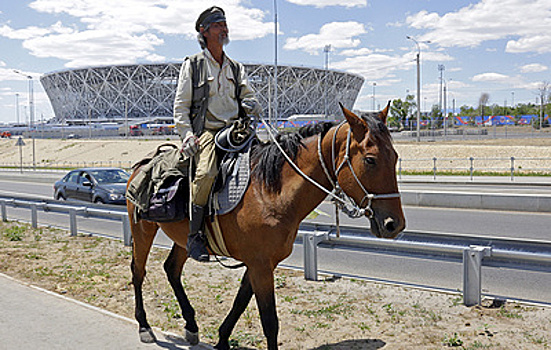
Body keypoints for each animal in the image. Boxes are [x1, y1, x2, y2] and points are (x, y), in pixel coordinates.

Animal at [127, 104, 408, 350]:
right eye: (370, 160)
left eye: (395, 157)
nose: (394, 224)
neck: (269, 193)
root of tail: (141, 164)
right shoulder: (261, 266)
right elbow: (270, 322)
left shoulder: (259, 264)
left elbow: (239, 303)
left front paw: (221, 340)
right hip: (142, 231)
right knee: (138, 271)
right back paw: (144, 326)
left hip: (184, 241)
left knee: (172, 269)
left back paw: (191, 324)